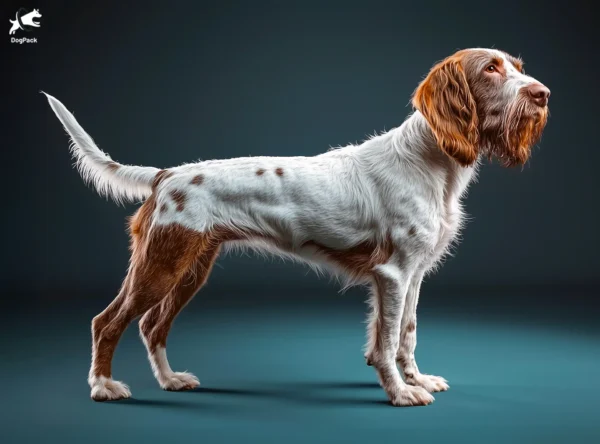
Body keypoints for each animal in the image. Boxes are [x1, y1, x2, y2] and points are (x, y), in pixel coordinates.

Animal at [43, 47, 548, 406]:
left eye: (519, 67)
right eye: (491, 69)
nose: (543, 94)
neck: (430, 161)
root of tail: (165, 175)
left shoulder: (414, 275)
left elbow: (406, 333)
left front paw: (416, 379)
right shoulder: (394, 274)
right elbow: (387, 341)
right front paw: (402, 393)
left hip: (191, 268)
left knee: (151, 325)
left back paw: (170, 380)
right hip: (161, 266)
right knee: (107, 321)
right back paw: (104, 387)